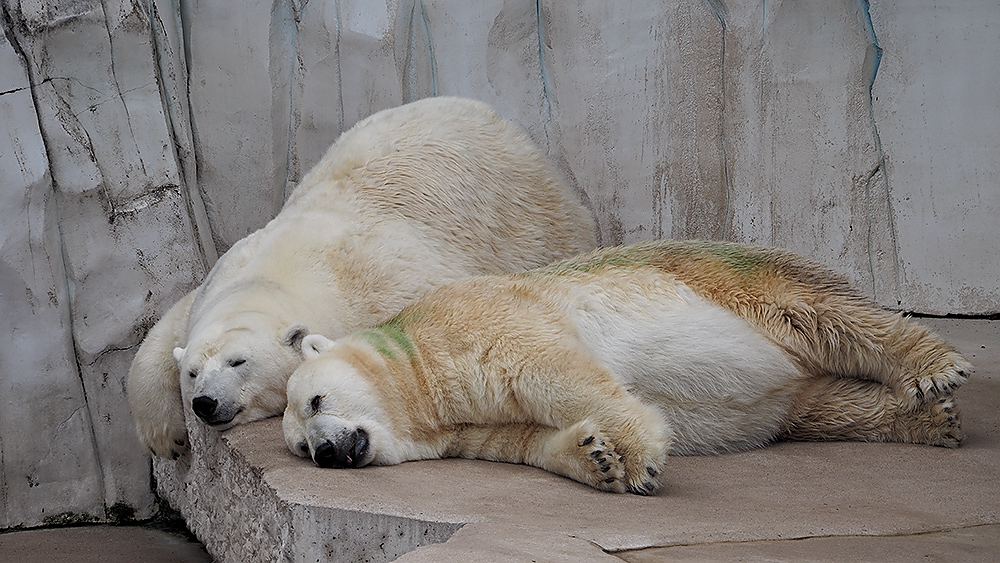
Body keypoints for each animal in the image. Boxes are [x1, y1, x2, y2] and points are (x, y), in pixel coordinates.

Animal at [124, 96, 592, 458]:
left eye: (239, 361)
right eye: (192, 373)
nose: (204, 403)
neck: (281, 274)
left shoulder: (384, 285)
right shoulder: (223, 275)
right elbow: (163, 332)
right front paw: (167, 439)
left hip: (529, 217)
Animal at [282, 240, 968, 496]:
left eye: (315, 403)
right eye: (299, 449)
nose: (329, 453)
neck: (423, 371)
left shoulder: (472, 322)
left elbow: (550, 369)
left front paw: (639, 458)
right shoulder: (463, 425)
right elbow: (520, 439)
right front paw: (598, 458)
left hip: (721, 279)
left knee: (820, 310)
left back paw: (934, 369)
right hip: (790, 393)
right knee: (821, 406)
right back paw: (927, 420)